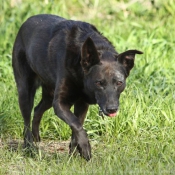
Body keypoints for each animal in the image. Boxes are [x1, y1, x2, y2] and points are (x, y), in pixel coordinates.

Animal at [12, 14, 144, 161]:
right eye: (99, 83)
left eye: (119, 82)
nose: (112, 109)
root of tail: (27, 21)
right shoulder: (60, 104)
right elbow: (77, 125)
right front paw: (85, 148)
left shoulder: (81, 104)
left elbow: (76, 126)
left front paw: (73, 154)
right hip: (25, 92)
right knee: (26, 120)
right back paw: (29, 147)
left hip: (49, 96)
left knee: (37, 110)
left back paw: (36, 138)